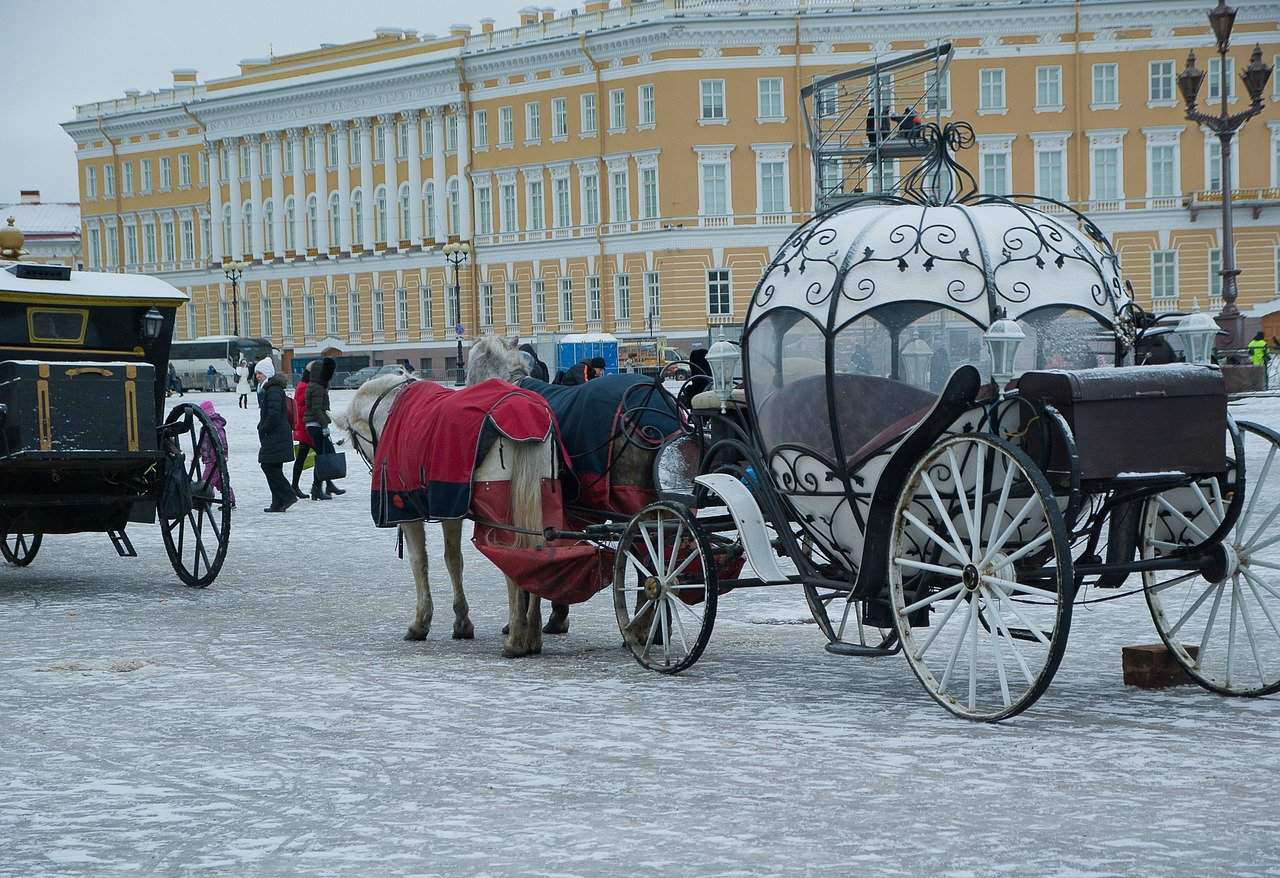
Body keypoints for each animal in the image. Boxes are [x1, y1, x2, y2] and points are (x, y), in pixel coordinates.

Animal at [337, 340, 558, 655]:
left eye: (356, 441)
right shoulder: (450, 507)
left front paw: (421, 622)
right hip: (541, 497)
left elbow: (420, 561)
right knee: (538, 554)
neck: (392, 411)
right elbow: (454, 559)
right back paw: (534, 634)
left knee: (512, 560)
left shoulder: (409, 510)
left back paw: (516, 639)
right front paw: (462, 622)